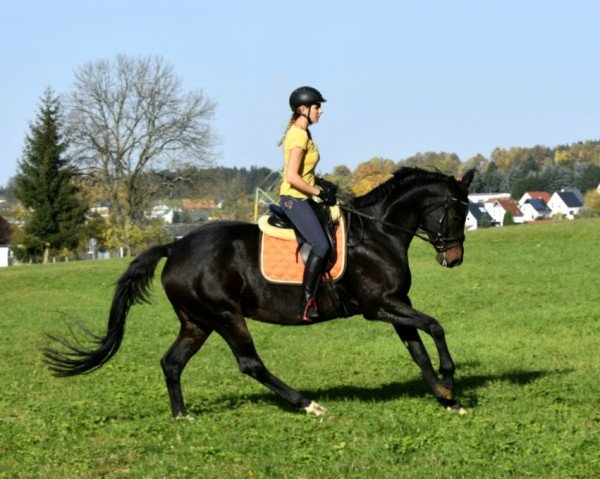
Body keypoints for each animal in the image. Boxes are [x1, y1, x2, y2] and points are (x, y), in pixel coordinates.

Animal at [44, 168, 476, 416]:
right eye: (457, 211)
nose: (453, 258)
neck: (377, 233)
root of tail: (174, 247)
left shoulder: (396, 303)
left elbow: (418, 349)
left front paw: (446, 397)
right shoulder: (379, 306)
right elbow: (435, 327)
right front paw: (450, 381)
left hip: (196, 321)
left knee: (172, 363)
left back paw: (182, 416)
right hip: (225, 315)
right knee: (250, 364)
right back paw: (308, 405)